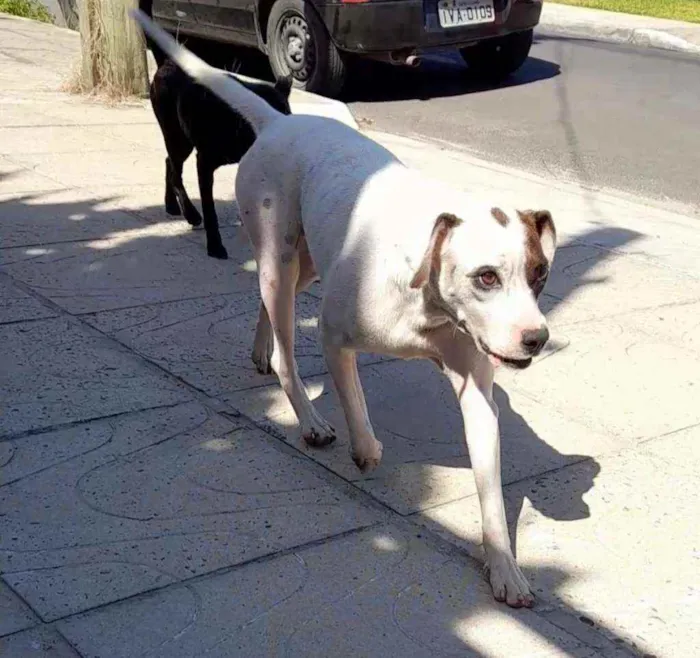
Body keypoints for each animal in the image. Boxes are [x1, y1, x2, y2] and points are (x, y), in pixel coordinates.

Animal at [139, 0, 292, 256]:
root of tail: (166, 64)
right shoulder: (204, 163)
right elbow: (210, 209)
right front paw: (215, 245)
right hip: (178, 139)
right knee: (176, 172)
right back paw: (190, 213)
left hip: (179, 141)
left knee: (169, 163)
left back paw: (171, 205)